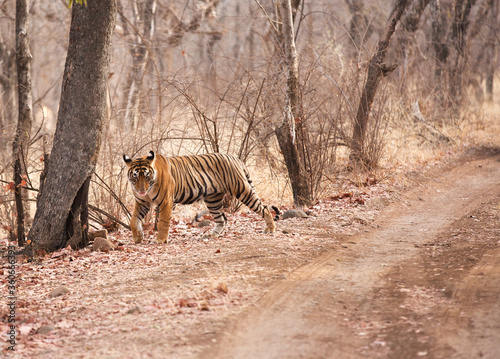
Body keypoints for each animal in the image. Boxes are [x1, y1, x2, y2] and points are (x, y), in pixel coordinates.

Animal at [121, 150, 278, 243]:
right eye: (135, 177)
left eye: (147, 176)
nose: (141, 190)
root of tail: (235, 157)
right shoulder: (142, 202)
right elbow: (134, 220)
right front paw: (138, 237)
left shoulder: (166, 202)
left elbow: (163, 223)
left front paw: (160, 240)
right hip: (212, 199)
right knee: (221, 219)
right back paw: (212, 235)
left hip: (241, 189)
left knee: (263, 207)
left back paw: (270, 228)